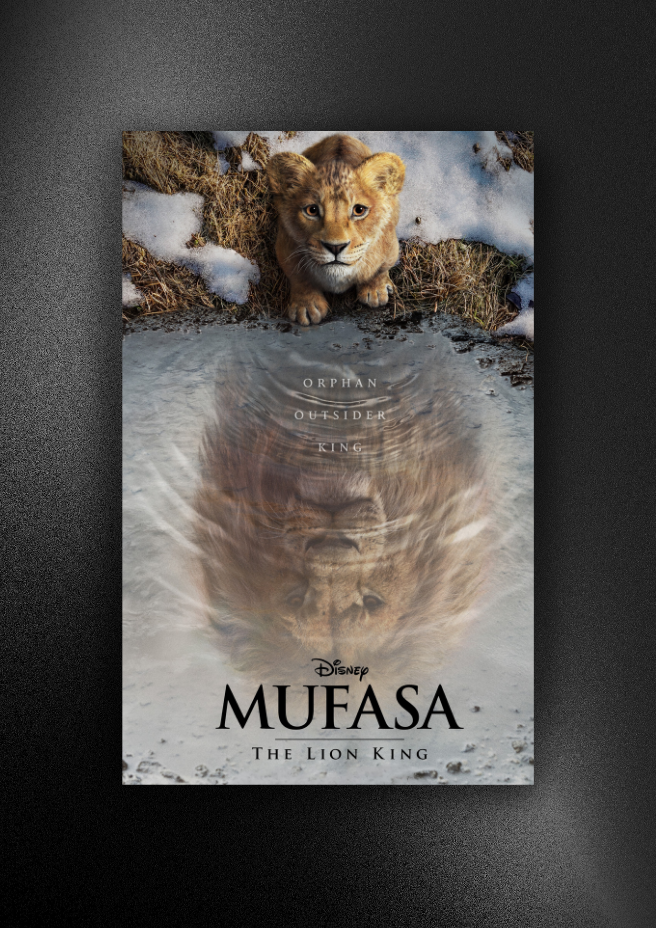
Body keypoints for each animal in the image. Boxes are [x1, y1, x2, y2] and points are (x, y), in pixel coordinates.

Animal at [266, 134, 406, 326]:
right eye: (312, 210)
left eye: (359, 210)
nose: (335, 247)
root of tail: (340, 135)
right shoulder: (285, 247)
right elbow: (299, 278)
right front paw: (306, 306)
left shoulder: (390, 247)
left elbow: (379, 270)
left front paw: (375, 291)